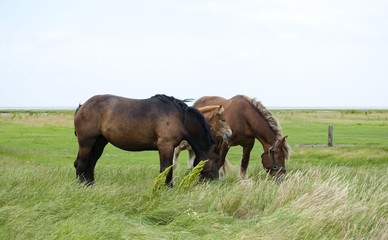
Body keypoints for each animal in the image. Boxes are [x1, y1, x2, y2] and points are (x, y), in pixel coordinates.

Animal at [74, 94, 217, 186]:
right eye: (216, 160)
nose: (215, 181)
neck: (181, 118)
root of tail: (83, 106)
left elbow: (168, 168)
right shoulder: (165, 145)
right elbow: (165, 168)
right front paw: (165, 188)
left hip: (99, 142)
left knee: (91, 163)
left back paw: (90, 185)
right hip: (86, 142)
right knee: (81, 163)